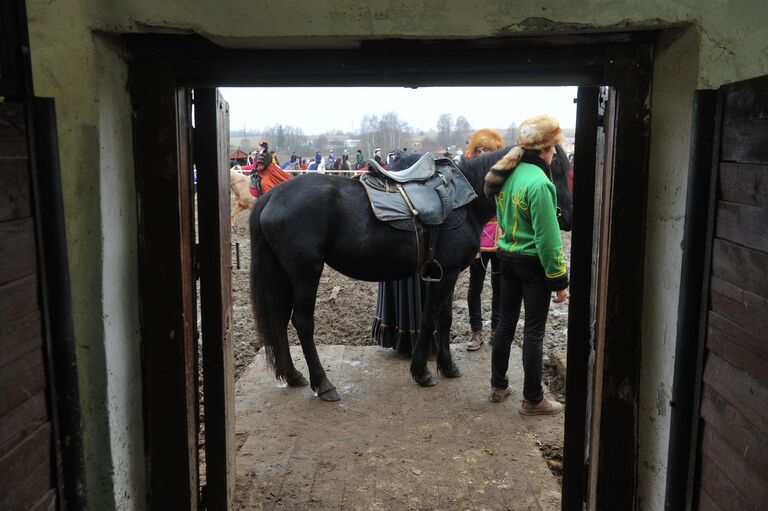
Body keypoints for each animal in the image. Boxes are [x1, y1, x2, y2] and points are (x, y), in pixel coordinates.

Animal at [252, 146, 568, 402]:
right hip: (306, 272)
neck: (466, 198)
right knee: (302, 322)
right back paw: (323, 384)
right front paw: (422, 372)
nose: (566, 218)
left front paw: (447, 367)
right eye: (558, 168)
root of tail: (273, 196)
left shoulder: (449, 275)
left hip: (284, 273)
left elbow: (445, 318)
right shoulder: (445, 274)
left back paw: (293, 375)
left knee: (279, 318)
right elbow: (430, 318)